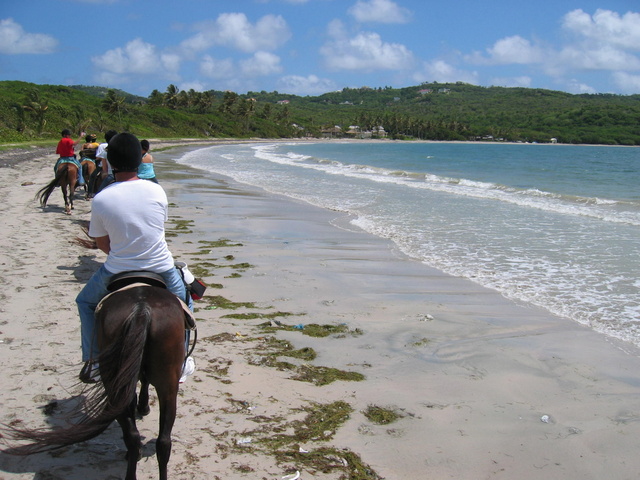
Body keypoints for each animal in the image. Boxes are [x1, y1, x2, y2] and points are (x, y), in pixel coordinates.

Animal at [1, 284, 190, 480]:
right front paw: (143, 407)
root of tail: (141, 309)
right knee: (154, 440)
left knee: (143, 438)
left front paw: (143, 406)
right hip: (159, 385)